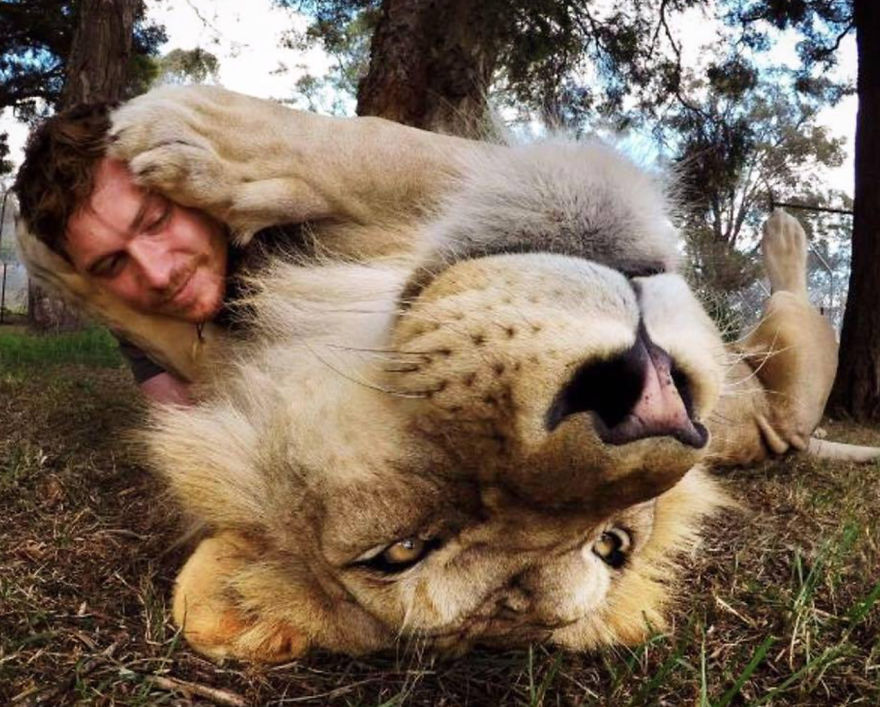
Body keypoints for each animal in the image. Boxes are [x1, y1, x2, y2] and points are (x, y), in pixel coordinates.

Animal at [19, 86, 873, 662]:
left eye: (612, 546)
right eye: (402, 550)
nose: (652, 411)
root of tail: (789, 435)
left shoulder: (453, 167)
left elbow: (383, 147)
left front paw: (199, 132)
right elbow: (168, 327)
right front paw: (54, 252)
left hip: (787, 349)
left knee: (793, 301)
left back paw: (788, 235)